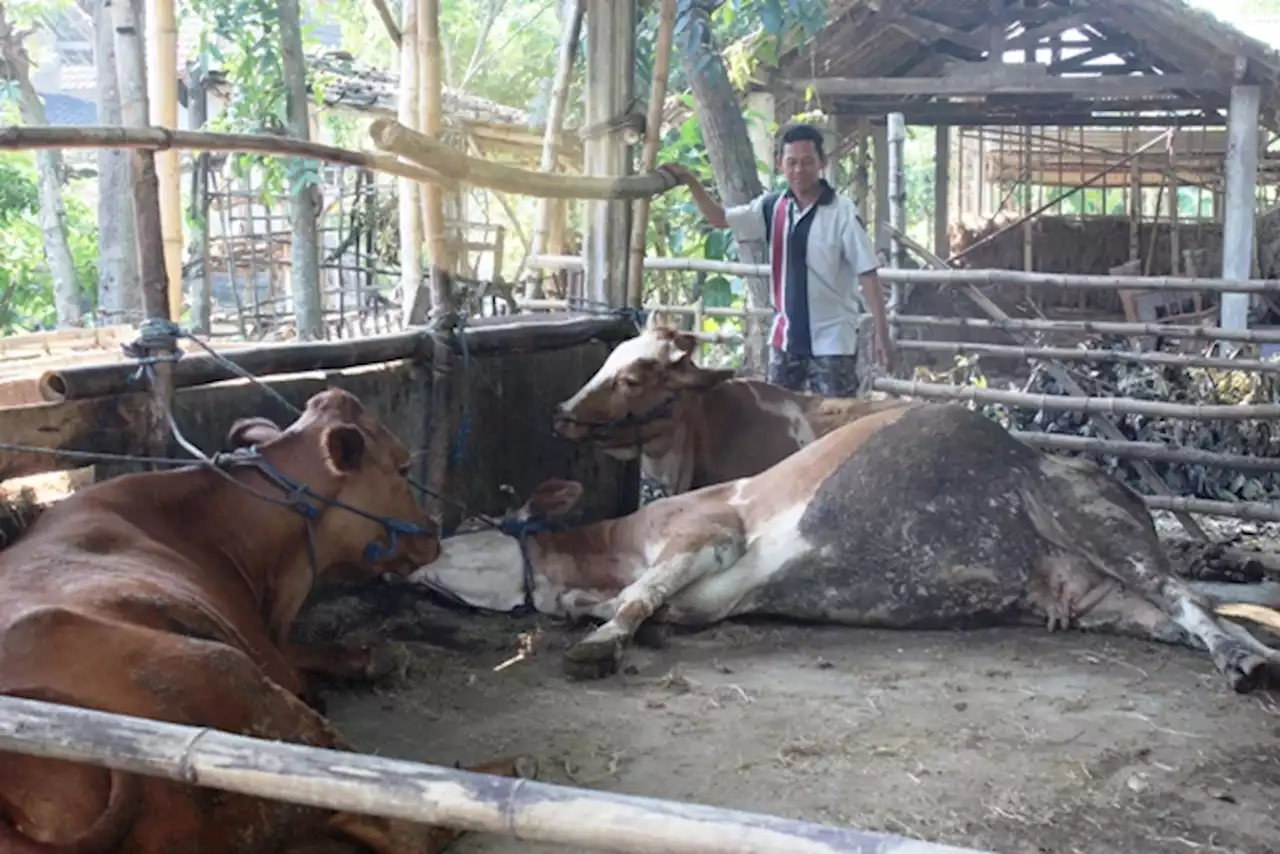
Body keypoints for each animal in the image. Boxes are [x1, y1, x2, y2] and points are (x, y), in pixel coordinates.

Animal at [0, 386, 529, 854]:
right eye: (402, 466)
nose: (431, 531)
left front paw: (376, 656)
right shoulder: (265, 653)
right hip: (235, 680)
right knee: (396, 825)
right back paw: (499, 772)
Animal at [414, 402, 1280, 696]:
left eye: (465, 529)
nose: (413, 551)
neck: (601, 553)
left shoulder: (708, 535)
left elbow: (637, 599)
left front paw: (600, 646)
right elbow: (649, 609)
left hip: (1085, 516)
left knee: (1189, 598)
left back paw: (1247, 658)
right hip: (1096, 597)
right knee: (1169, 618)